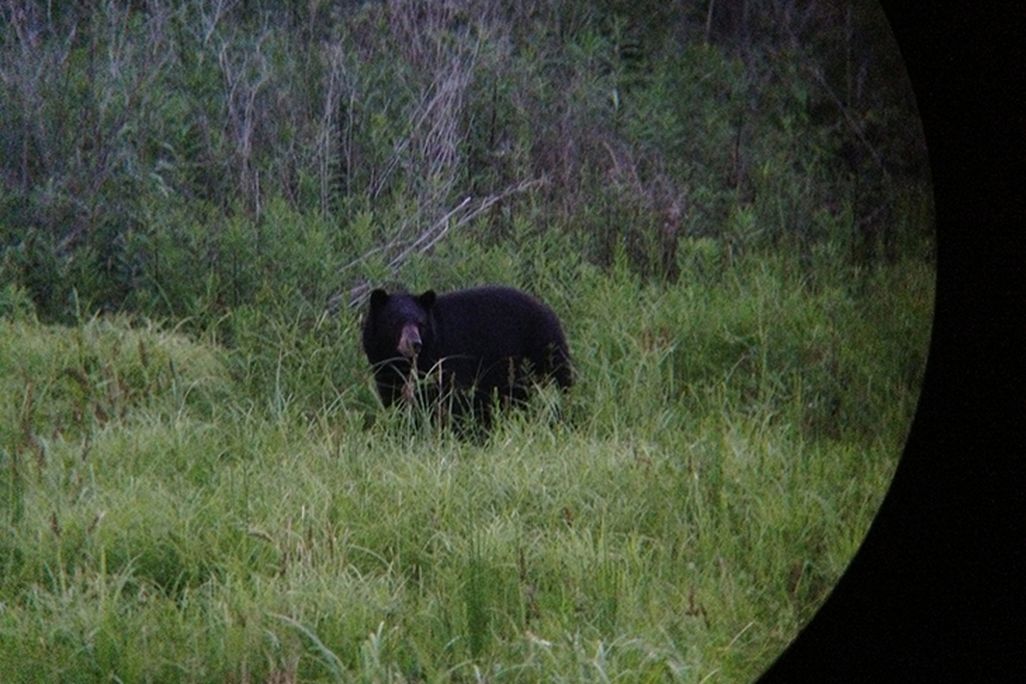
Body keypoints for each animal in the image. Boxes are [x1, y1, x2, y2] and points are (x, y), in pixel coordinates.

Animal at [362, 285, 573, 430]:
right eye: (396, 322)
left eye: (420, 323)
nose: (414, 344)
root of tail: (549, 310)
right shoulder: (385, 369)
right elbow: (394, 396)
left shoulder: (447, 356)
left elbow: (453, 397)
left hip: (543, 347)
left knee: (558, 381)